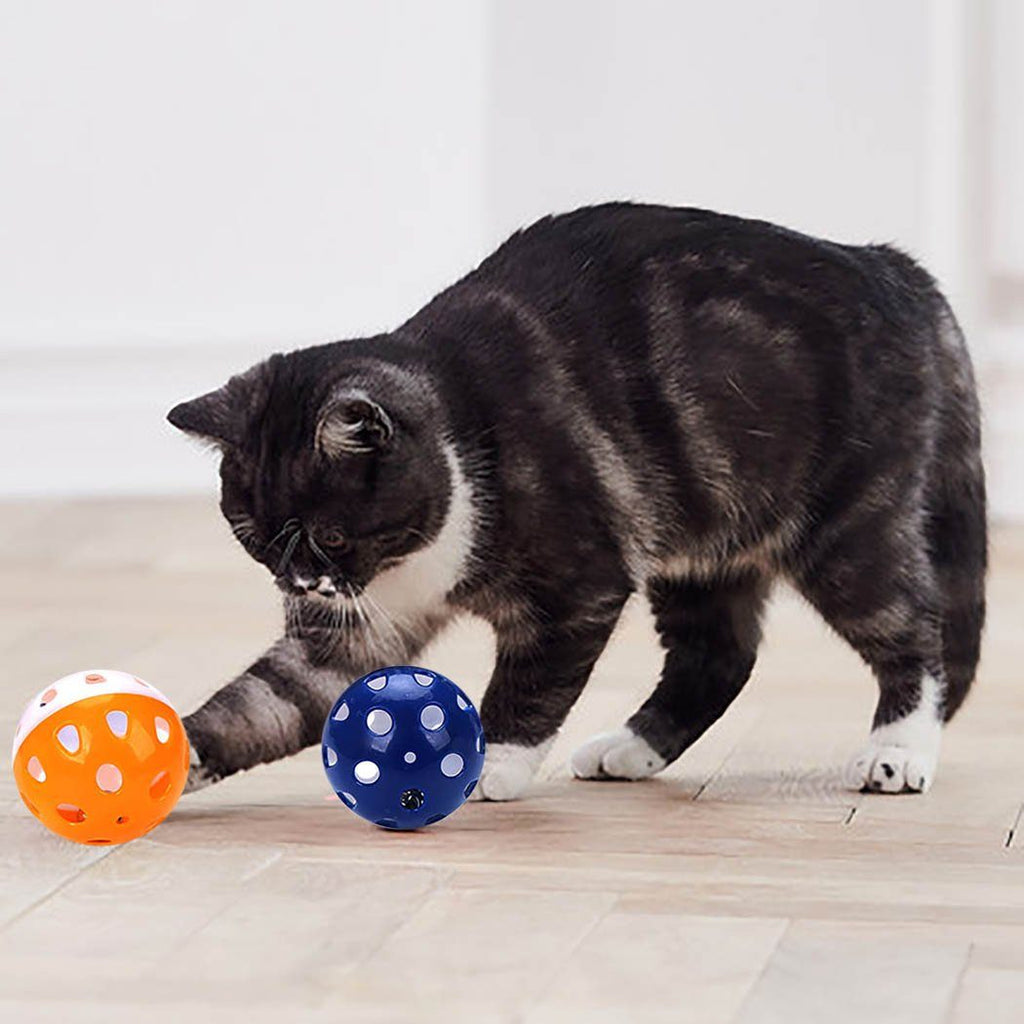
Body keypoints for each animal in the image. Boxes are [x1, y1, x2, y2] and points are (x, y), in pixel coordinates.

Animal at [172, 203, 987, 802]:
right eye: (255, 539)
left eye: (335, 537)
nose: (303, 586)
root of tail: (891, 264)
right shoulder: (355, 630)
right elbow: (268, 700)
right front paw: (180, 755)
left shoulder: (577, 587)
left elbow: (530, 685)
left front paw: (485, 766)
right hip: (704, 540)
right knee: (717, 654)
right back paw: (630, 748)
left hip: (844, 525)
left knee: (915, 628)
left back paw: (898, 752)